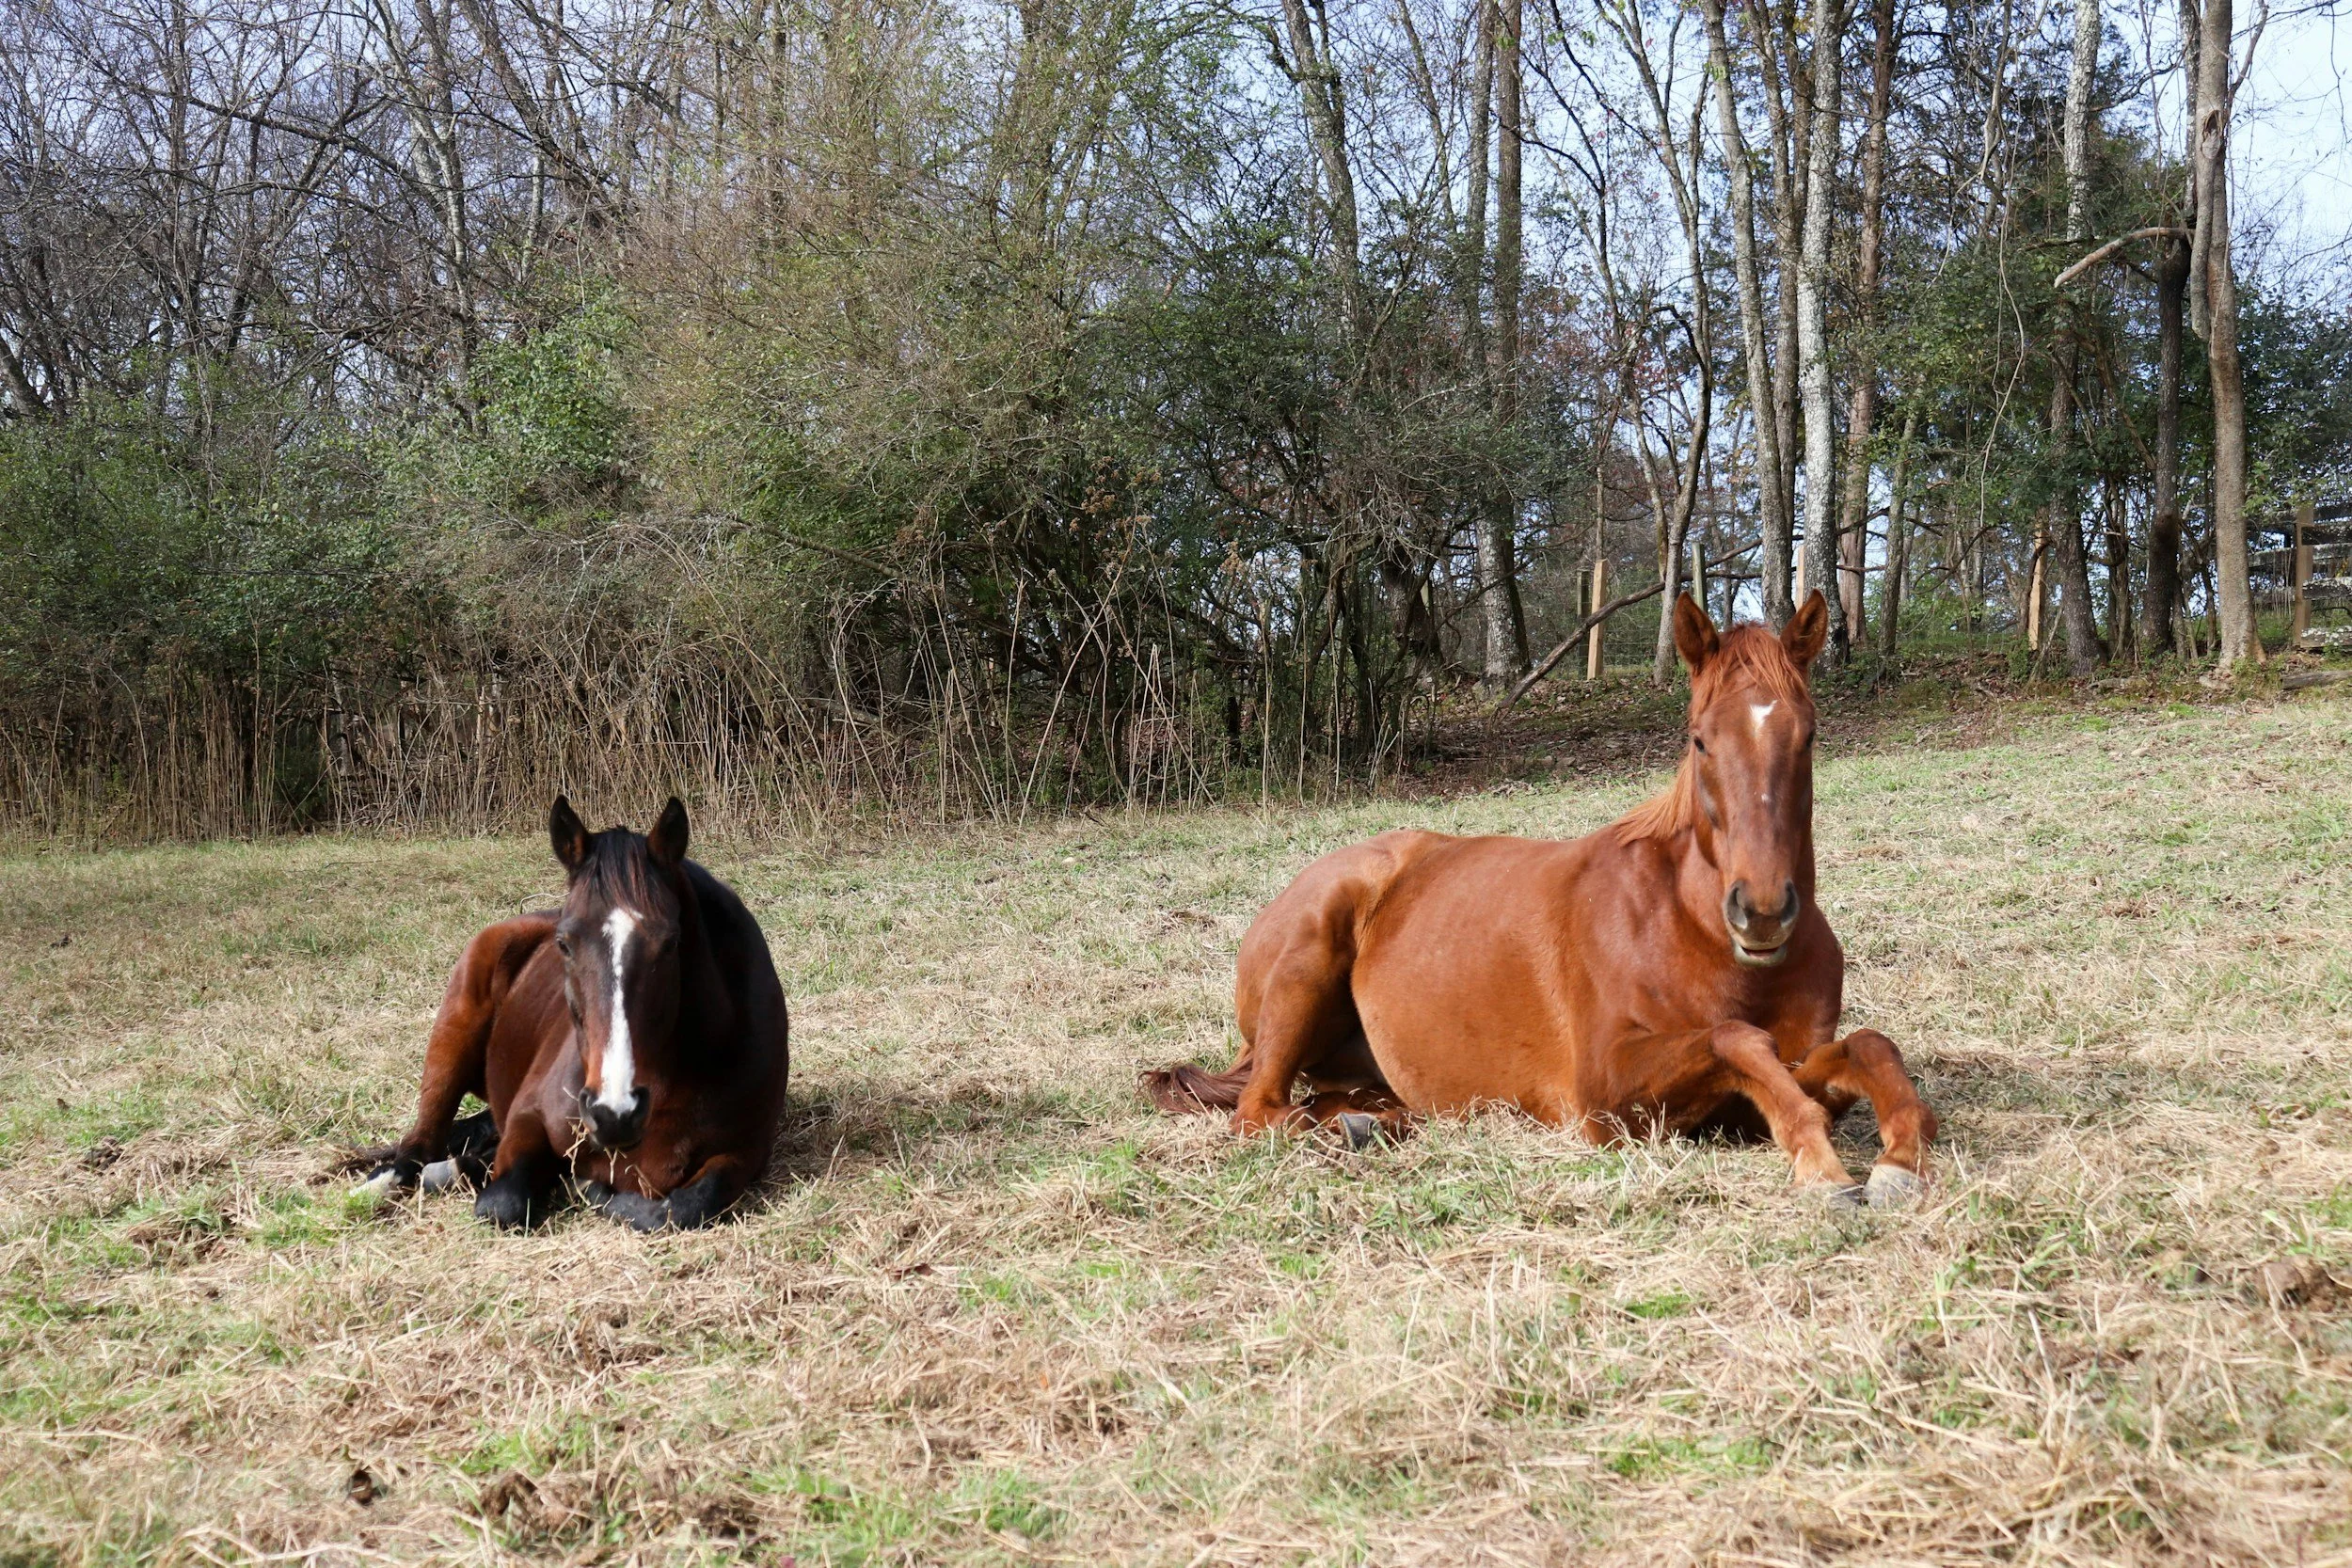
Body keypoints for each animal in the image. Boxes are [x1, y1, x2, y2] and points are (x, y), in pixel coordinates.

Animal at [357, 796, 791, 1230]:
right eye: (564, 944)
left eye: (670, 943)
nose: (614, 1112)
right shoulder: (528, 1117)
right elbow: (502, 1202)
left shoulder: (743, 1154)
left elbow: (682, 1207)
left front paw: (589, 1188)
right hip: (451, 1040)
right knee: (420, 1145)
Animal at [1145, 591, 1937, 1206]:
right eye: (1700, 740)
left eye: (1809, 736)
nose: (1763, 911)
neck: (1693, 928)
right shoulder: (1607, 1095)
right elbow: (1738, 1039)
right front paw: (1823, 1160)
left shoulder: (1764, 1083)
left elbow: (1863, 1045)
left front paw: (1901, 1155)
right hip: (1306, 970)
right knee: (1259, 1110)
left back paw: (1371, 1123)